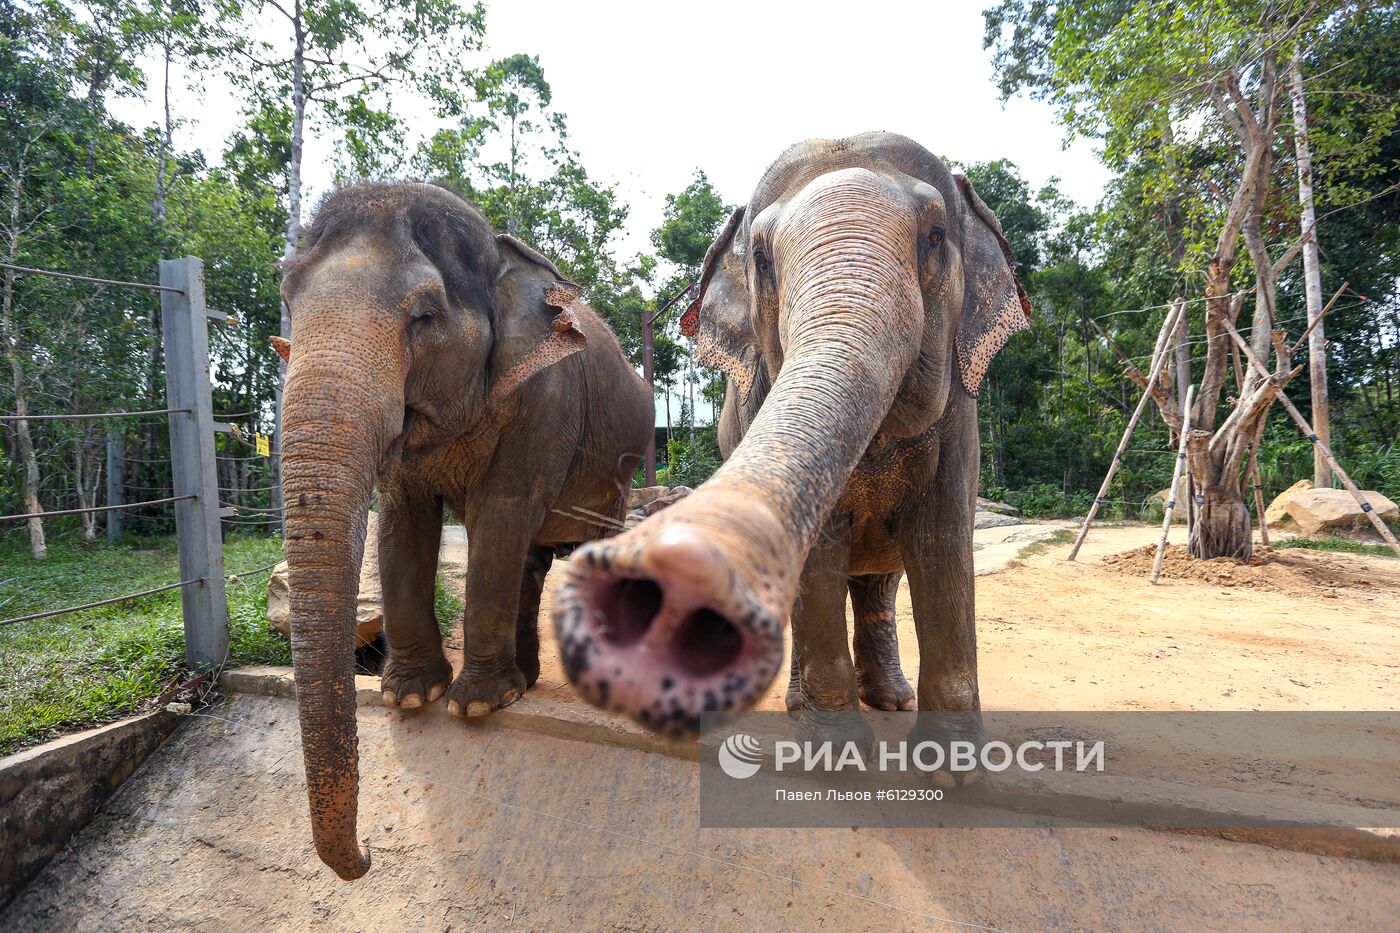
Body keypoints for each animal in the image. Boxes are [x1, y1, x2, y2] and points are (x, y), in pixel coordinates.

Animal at [281, 183, 658, 879]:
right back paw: (524, 682)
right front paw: (410, 697)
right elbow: (402, 520)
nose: (368, 854)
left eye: (425, 316)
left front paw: (475, 705)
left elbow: (500, 515)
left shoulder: (546, 396)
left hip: (618, 469)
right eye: (288, 304)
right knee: (533, 563)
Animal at [554, 130, 1030, 745]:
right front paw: (838, 753)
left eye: (934, 236)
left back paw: (892, 699)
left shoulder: (960, 416)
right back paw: (802, 704)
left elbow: (942, 540)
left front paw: (950, 763)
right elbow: (818, 552)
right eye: (761, 258)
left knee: (882, 580)